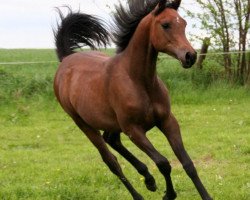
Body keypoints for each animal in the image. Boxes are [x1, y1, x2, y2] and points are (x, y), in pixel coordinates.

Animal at [53, 0, 212, 200]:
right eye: (165, 25)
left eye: (183, 23)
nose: (190, 56)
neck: (139, 81)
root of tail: (65, 59)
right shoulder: (134, 130)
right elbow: (163, 162)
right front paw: (168, 194)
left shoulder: (167, 121)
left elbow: (188, 163)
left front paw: (206, 196)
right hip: (84, 124)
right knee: (111, 161)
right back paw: (140, 193)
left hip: (112, 123)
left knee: (112, 140)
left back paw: (148, 179)